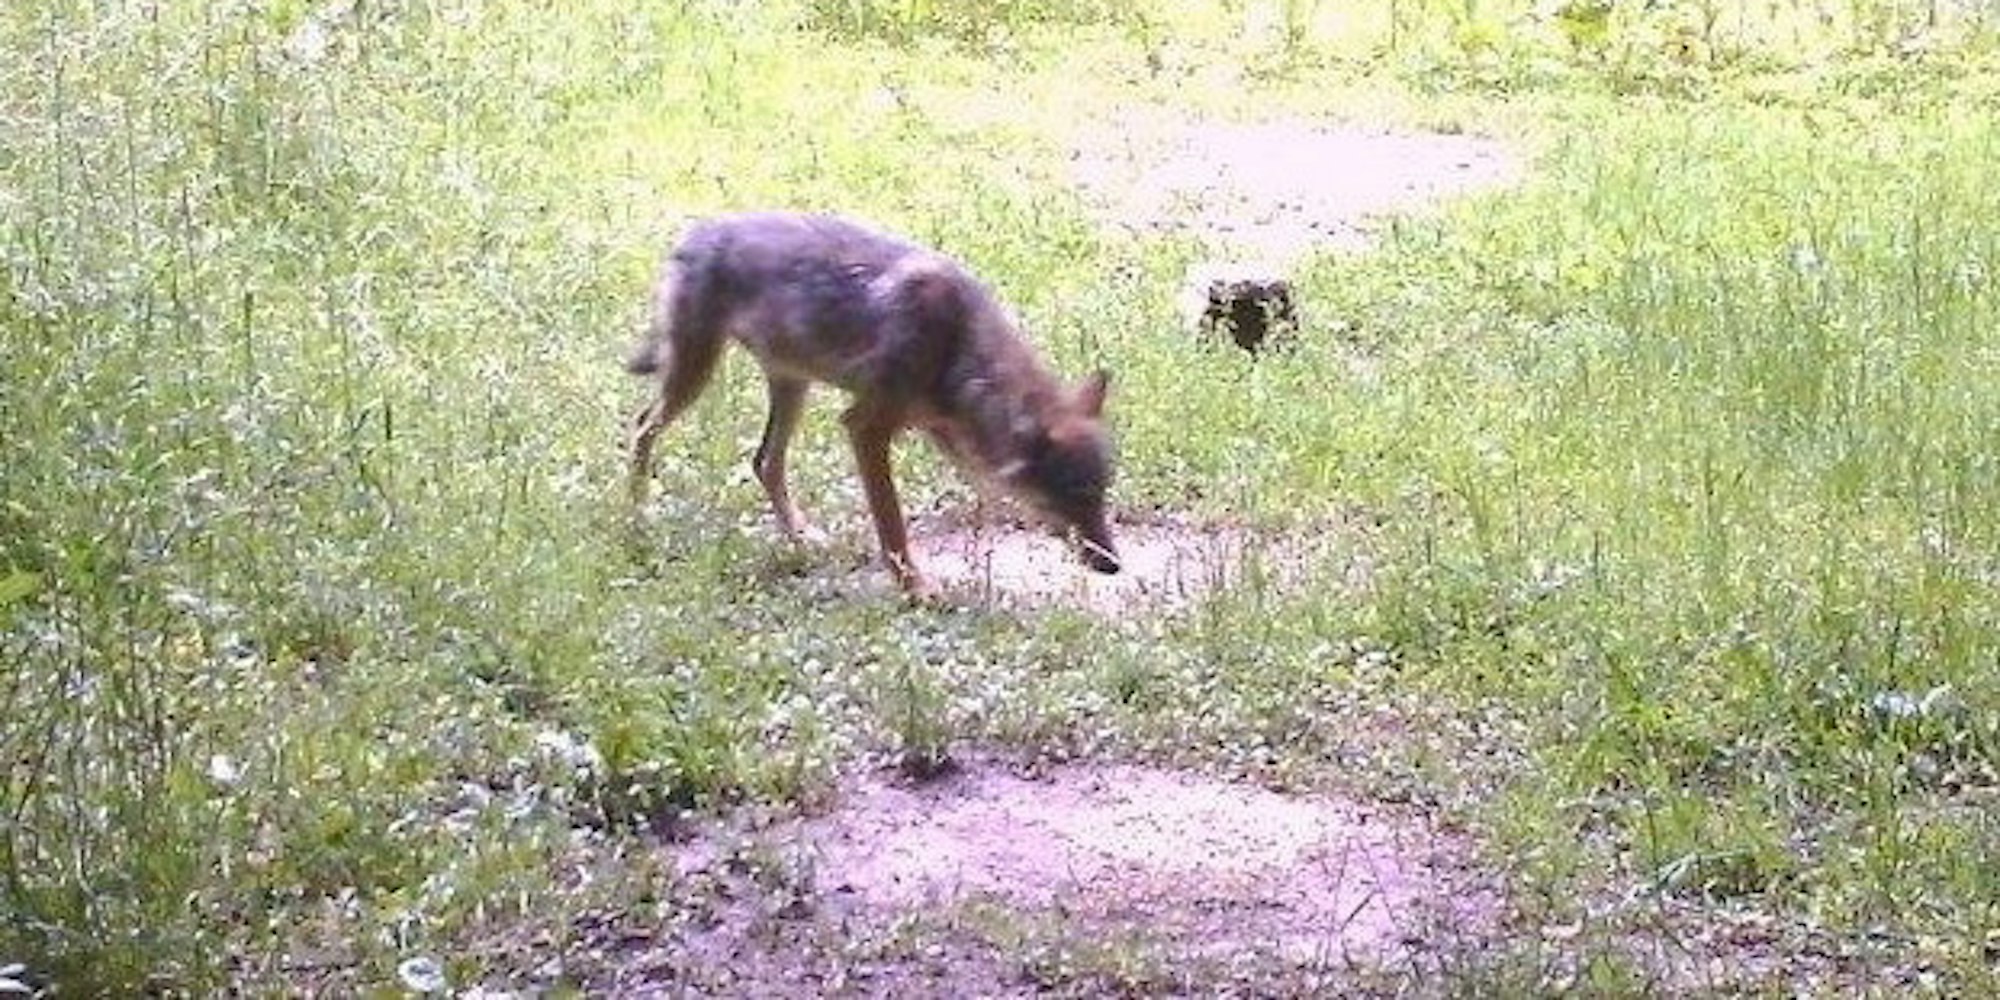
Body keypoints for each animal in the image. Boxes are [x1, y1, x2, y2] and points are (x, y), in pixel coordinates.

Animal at [624, 212, 1120, 594]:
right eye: (1075, 494)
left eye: (1102, 492)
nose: (1114, 564)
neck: (957, 343)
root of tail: (693, 231)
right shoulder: (865, 426)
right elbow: (892, 525)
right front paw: (916, 591)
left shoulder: (944, 431)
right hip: (694, 376)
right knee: (641, 426)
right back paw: (638, 514)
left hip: (791, 387)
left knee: (764, 462)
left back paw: (801, 538)